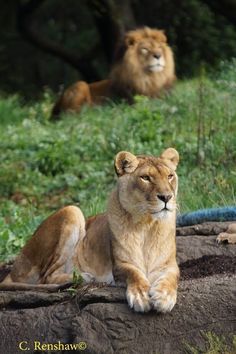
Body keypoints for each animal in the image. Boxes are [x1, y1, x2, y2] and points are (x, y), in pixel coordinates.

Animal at [0, 148, 180, 314]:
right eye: (146, 178)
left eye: (170, 176)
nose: (166, 197)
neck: (147, 224)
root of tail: (14, 269)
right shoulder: (120, 264)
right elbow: (133, 273)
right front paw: (140, 296)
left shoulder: (169, 265)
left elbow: (171, 278)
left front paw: (164, 297)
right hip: (72, 211)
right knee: (46, 277)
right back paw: (85, 276)